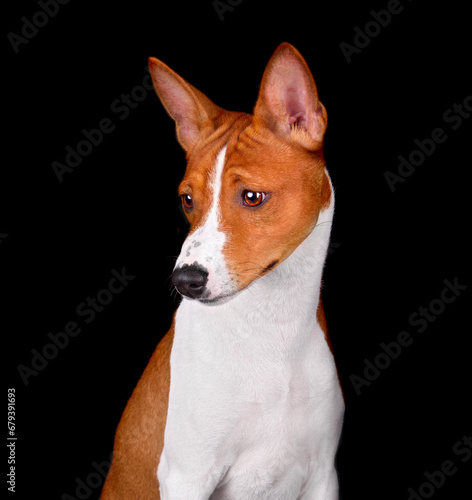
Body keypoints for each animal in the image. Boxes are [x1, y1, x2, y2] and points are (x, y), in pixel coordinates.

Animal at [101, 43, 342, 500]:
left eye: (252, 197)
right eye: (187, 200)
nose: (185, 281)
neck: (274, 333)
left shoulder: (323, 474)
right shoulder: (188, 475)